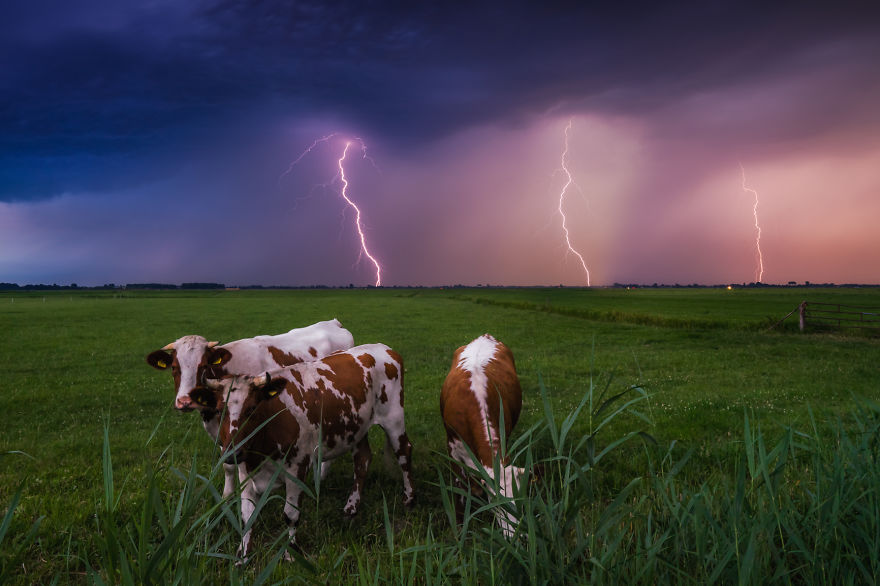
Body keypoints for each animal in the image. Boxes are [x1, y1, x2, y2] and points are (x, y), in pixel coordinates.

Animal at [145, 318, 354, 496]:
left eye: (203, 366)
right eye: (174, 367)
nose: (185, 401)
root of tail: (333, 322)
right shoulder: (221, 431)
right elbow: (227, 465)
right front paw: (227, 497)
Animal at [195, 342, 412, 556]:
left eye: (252, 409)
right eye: (218, 410)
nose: (233, 452)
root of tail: (383, 347)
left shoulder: (297, 469)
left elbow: (290, 515)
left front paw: (292, 551)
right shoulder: (245, 473)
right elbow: (247, 516)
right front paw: (243, 554)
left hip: (394, 420)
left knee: (404, 453)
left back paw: (408, 498)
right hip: (357, 428)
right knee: (362, 461)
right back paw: (351, 506)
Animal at [438, 330, 524, 536]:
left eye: (520, 499)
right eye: (497, 503)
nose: (516, 536)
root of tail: (485, 335)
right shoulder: (452, 448)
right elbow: (459, 488)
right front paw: (459, 528)